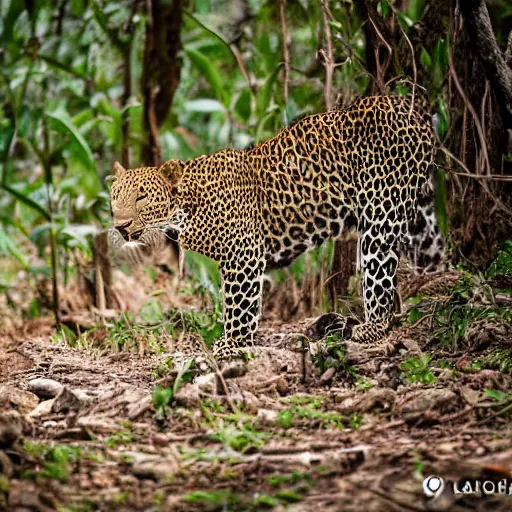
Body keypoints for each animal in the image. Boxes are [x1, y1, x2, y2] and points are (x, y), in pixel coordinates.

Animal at [108, 94, 436, 362]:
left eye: (142, 196)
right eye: (115, 197)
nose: (121, 225)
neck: (183, 209)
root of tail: (404, 103)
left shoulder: (243, 255)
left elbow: (239, 305)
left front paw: (233, 344)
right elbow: (231, 302)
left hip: (381, 210)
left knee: (379, 271)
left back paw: (372, 327)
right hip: (420, 212)